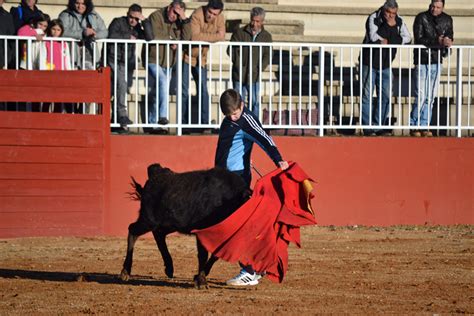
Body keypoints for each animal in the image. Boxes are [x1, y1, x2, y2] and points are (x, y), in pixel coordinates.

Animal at [120, 164, 250, 288]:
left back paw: (169, 268)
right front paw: (201, 281)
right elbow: (203, 255)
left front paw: (199, 276)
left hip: (169, 223)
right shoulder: (202, 231)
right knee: (133, 230)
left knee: (158, 234)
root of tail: (157, 172)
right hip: (149, 220)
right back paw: (125, 272)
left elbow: (216, 255)